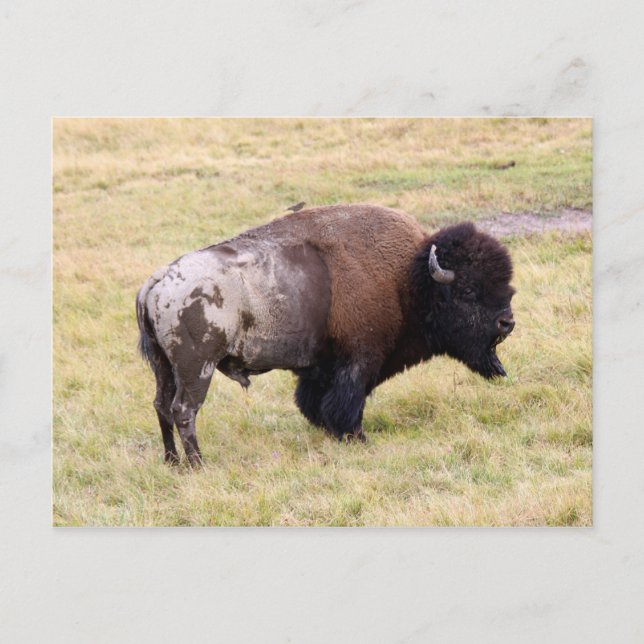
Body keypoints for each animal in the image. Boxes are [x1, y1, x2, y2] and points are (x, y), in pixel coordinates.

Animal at [136, 204, 515, 466]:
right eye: (468, 291)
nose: (507, 322)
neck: (407, 279)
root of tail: (155, 282)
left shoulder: (321, 367)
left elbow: (315, 402)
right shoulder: (359, 360)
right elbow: (347, 402)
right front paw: (358, 438)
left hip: (163, 367)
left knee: (161, 406)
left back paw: (173, 462)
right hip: (196, 368)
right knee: (184, 409)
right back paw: (199, 465)